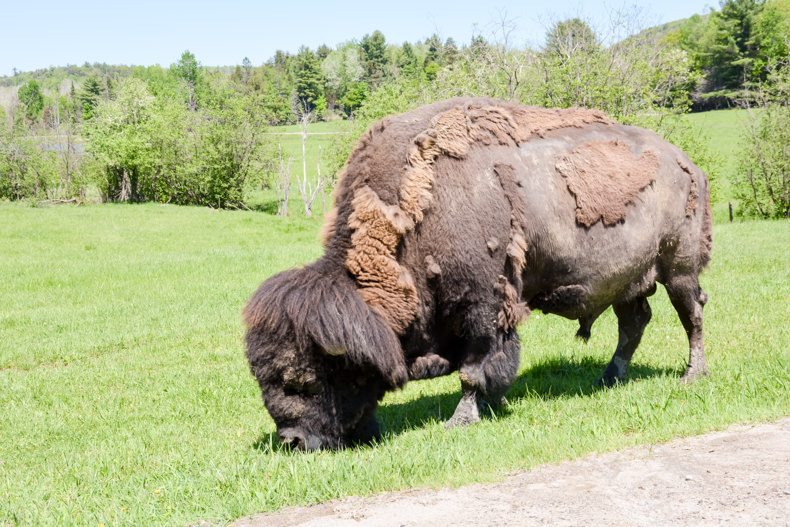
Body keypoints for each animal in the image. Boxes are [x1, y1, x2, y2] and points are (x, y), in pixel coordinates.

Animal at [244, 98, 716, 450]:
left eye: (303, 380)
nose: (292, 441)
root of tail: (688, 163)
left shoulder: (484, 308)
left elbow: (474, 370)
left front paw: (463, 418)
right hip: (627, 281)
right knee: (634, 323)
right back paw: (608, 377)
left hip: (679, 270)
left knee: (692, 316)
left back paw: (692, 376)